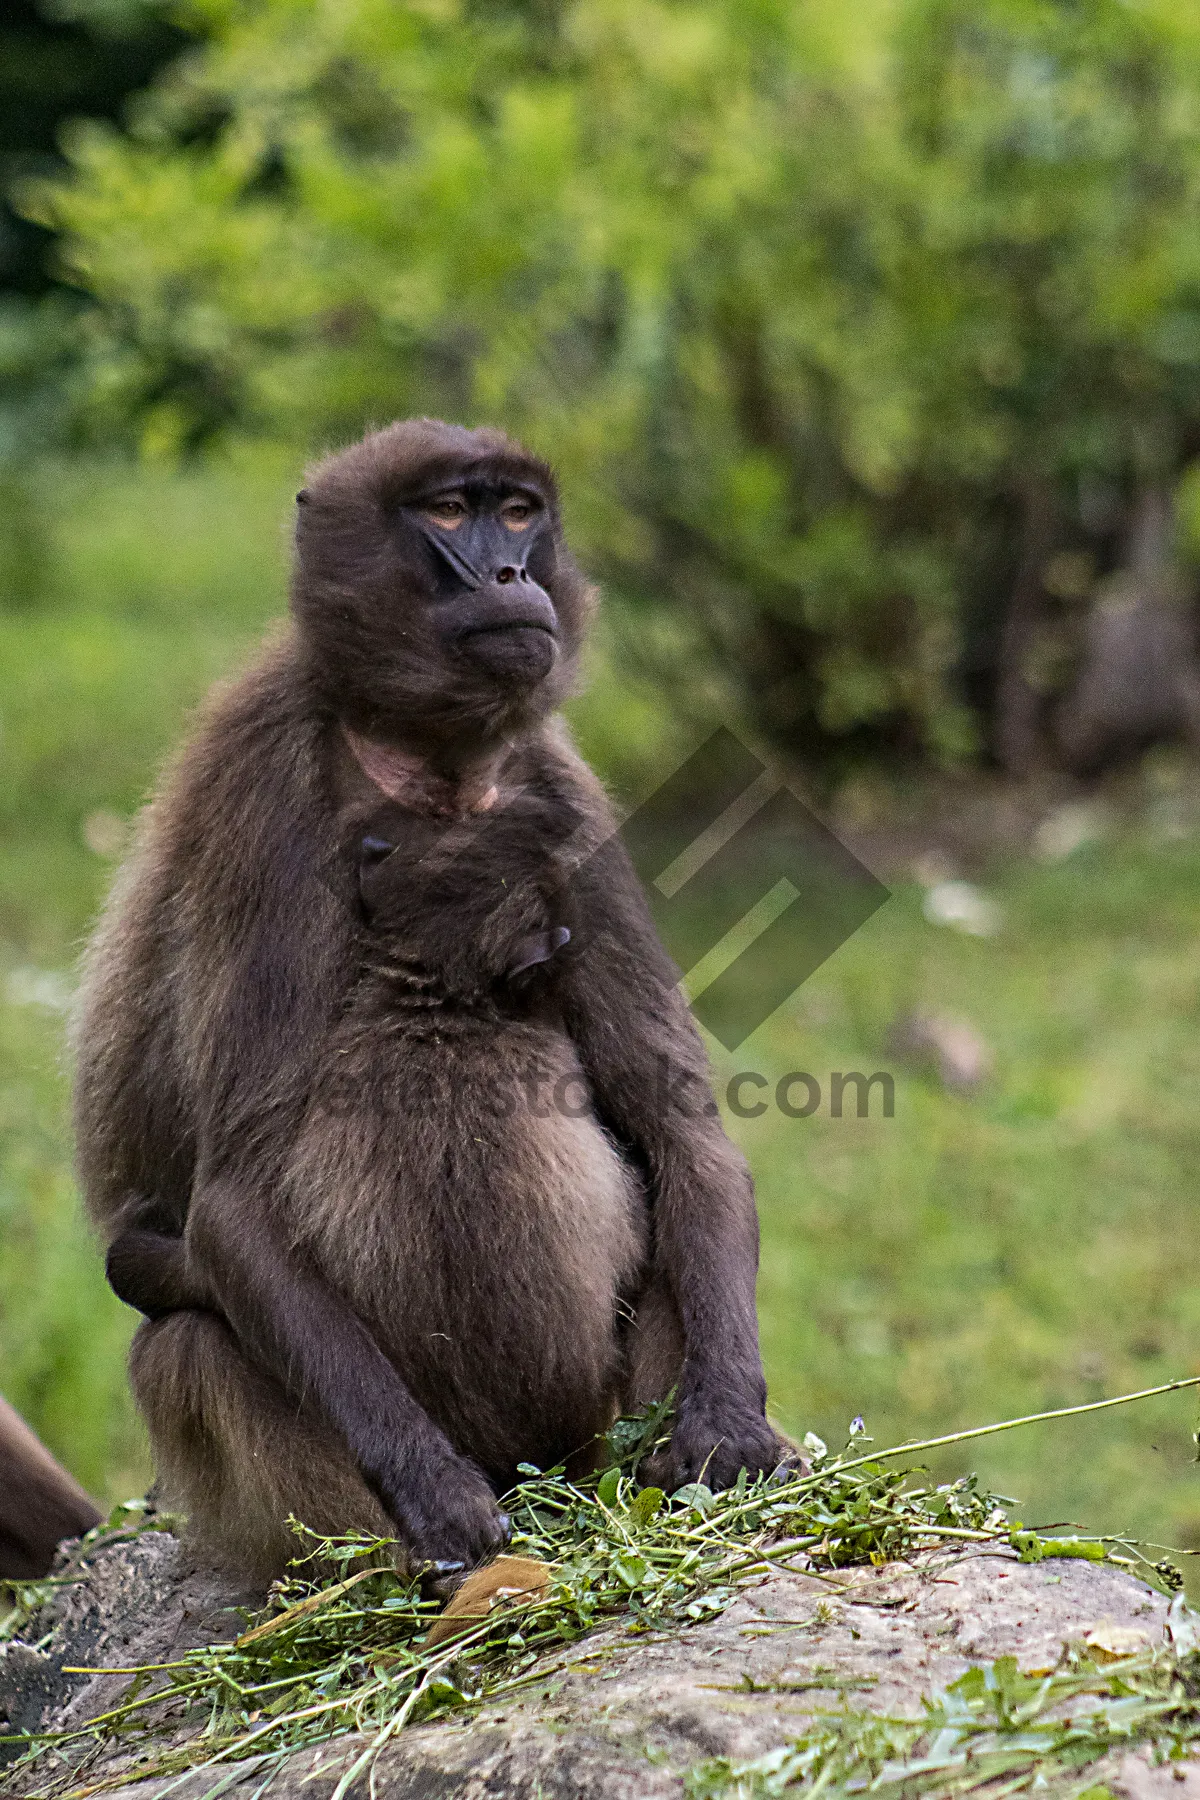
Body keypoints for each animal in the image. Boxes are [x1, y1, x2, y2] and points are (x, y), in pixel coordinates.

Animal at [75, 417, 788, 1576]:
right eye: (451, 512)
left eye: (521, 512)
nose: (510, 575)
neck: (420, 759)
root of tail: (545, 1476)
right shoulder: (264, 796)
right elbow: (235, 1193)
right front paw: (431, 1490)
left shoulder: (564, 802)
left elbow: (680, 1131)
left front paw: (727, 1422)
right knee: (186, 1340)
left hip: (588, 1435)